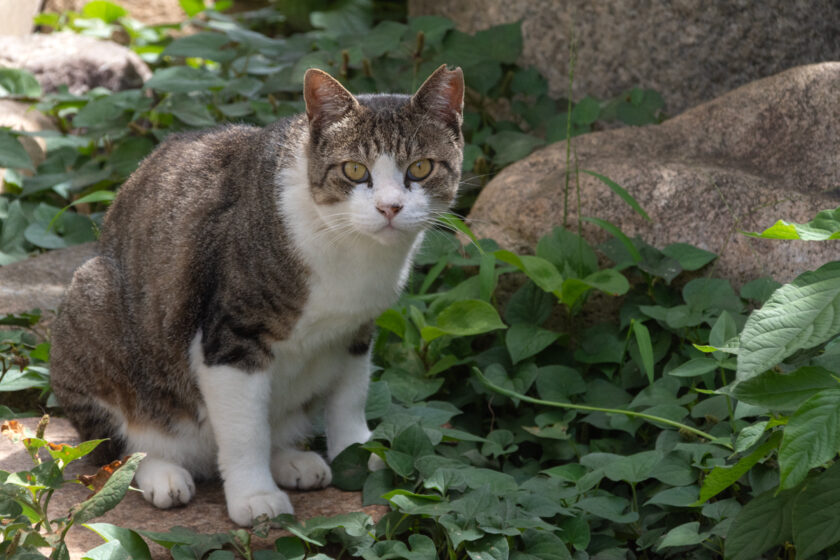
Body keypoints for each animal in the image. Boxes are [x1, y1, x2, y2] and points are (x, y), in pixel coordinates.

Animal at [50, 64, 466, 524]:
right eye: (355, 170)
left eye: (421, 167)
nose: (390, 207)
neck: (352, 252)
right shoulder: (232, 335)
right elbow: (244, 431)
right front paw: (255, 497)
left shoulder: (357, 330)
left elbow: (350, 399)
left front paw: (357, 452)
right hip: (92, 302)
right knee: (116, 447)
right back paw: (161, 471)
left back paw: (291, 459)